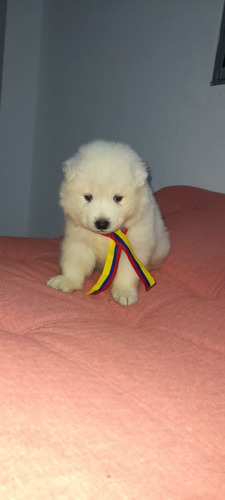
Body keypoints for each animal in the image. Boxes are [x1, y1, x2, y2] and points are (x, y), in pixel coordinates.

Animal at [48, 139, 171, 306]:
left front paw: (125, 293)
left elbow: (127, 272)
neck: (106, 236)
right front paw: (67, 281)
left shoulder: (133, 248)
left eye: (118, 198)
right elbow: (75, 262)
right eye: (88, 197)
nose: (101, 223)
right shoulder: (78, 240)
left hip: (161, 245)